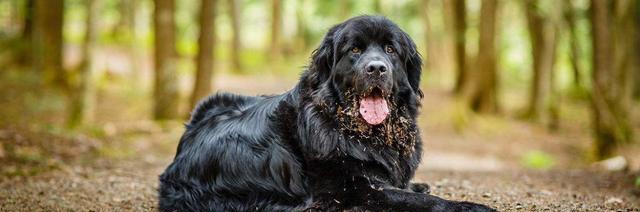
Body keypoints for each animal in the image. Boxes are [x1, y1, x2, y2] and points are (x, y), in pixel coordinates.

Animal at [158, 15, 492, 211]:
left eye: (390, 50)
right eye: (354, 50)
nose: (376, 68)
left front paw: (417, 184)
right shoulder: (355, 191)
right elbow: (423, 200)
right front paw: (470, 206)